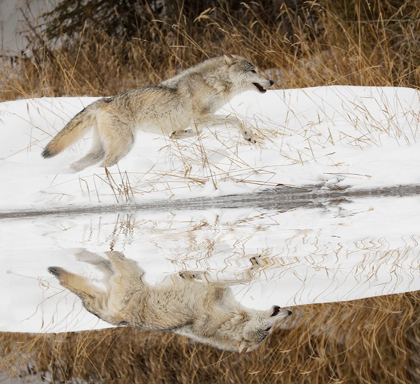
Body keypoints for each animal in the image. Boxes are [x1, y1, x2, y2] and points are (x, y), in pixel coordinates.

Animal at [41, 53, 272, 170]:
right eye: (253, 70)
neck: (214, 82)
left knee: (76, 165)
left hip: (101, 150)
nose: (272, 81)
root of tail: (105, 101)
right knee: (102, 166)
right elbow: (236, 119)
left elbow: (194, 132)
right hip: (122, 147)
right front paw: (249, 137)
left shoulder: (199, 122)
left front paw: (177, 135)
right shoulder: (203, 117)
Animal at [48, 250, 292, 352]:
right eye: (269, 330)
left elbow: (235, 278)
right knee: (106, 260)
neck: (231, 319)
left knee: (103, 264)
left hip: (127, 277)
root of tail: (119, 320)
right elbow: (244, 276)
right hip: (132, 275)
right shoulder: (215, 289)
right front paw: (255, 262)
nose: (290, 312)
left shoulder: (214, 291)